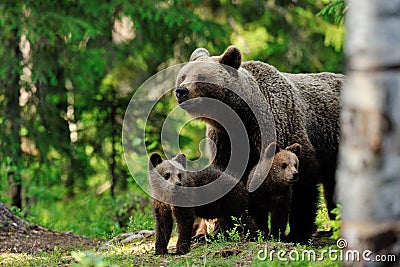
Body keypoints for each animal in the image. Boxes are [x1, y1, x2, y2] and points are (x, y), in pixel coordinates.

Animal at [175, 45, 344, 243]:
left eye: (201, 76)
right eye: (183, 76)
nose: (181, 91)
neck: (240, 119)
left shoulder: (281, 126)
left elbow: (303, 182)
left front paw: (297, 232)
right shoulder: (226, 141)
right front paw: (221, 230)